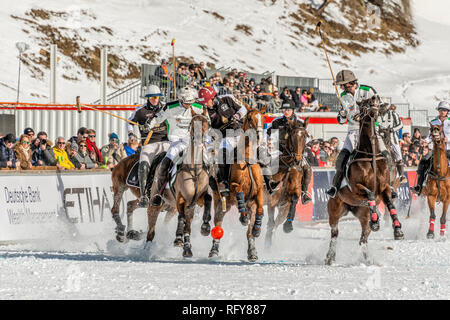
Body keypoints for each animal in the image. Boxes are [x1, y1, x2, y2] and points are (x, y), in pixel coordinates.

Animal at [264, 115, 310, 248]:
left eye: (305, 135)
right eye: (292, 135)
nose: (298, 159)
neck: (289, 167)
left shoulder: (293, 194)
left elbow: (294, 199)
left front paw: (288, 226)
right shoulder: (271, 201)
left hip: (282, 208)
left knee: (275, 224)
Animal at [326, 96, 402, 266]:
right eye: (365, 102)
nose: (376, 98)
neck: (370, 154)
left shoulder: (385, 188)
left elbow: (390, 204)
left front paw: (398, 229)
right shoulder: (356, 187)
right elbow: (370, 193)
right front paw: (376, 221)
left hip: (362, 214)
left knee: (363, 239)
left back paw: (368, 260)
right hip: (335, 210)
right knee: (334, 233)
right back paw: (330, 257)